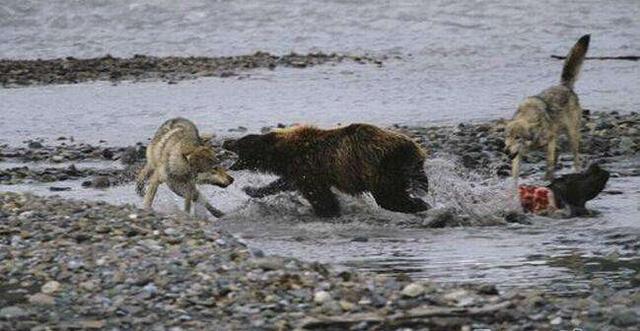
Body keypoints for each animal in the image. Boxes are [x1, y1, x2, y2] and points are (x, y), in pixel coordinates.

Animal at [222, 124, 432, 218]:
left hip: (382, 168)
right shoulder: (301, 170)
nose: (225, 141)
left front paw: (326, 211)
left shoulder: (307, 164)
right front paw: (252, 189)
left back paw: (419, 205)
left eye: (239, 142)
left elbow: (319, 196)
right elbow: (284, 183)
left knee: (389, 197)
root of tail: (416, 149)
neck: (281, 154)